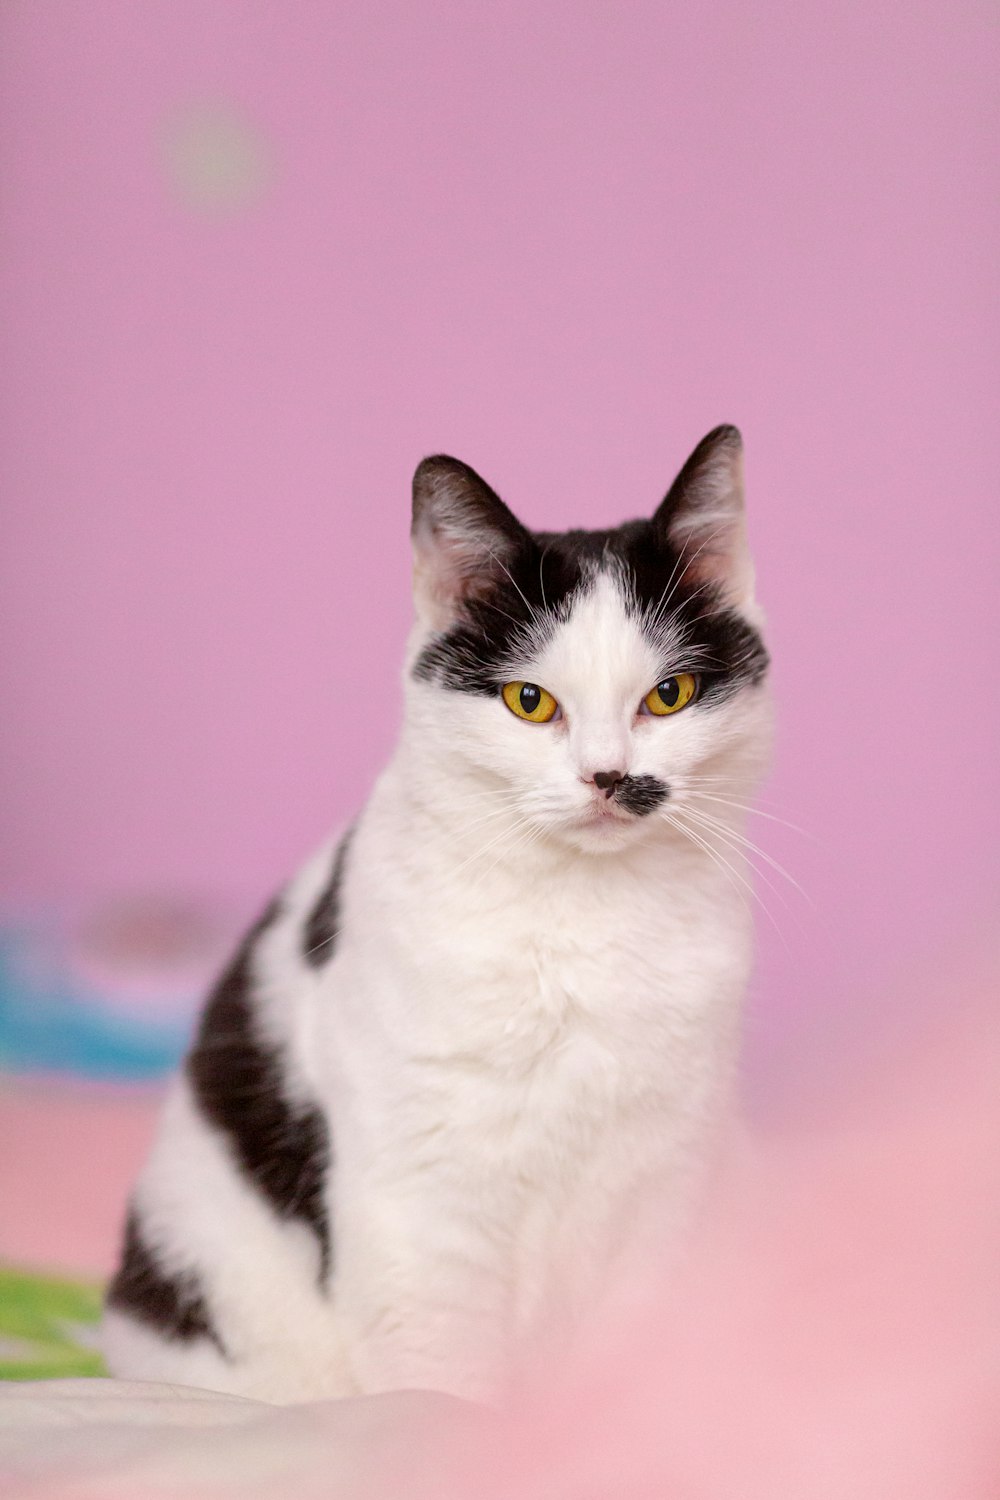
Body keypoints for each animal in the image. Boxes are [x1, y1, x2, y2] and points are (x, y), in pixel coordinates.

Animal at [101, 426, 773, 1404]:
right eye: (530, 701)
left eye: (670, 695)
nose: (608, 776)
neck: (583, 918)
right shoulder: (419, 1206)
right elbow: (435, 1381)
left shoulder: (664, 1184)